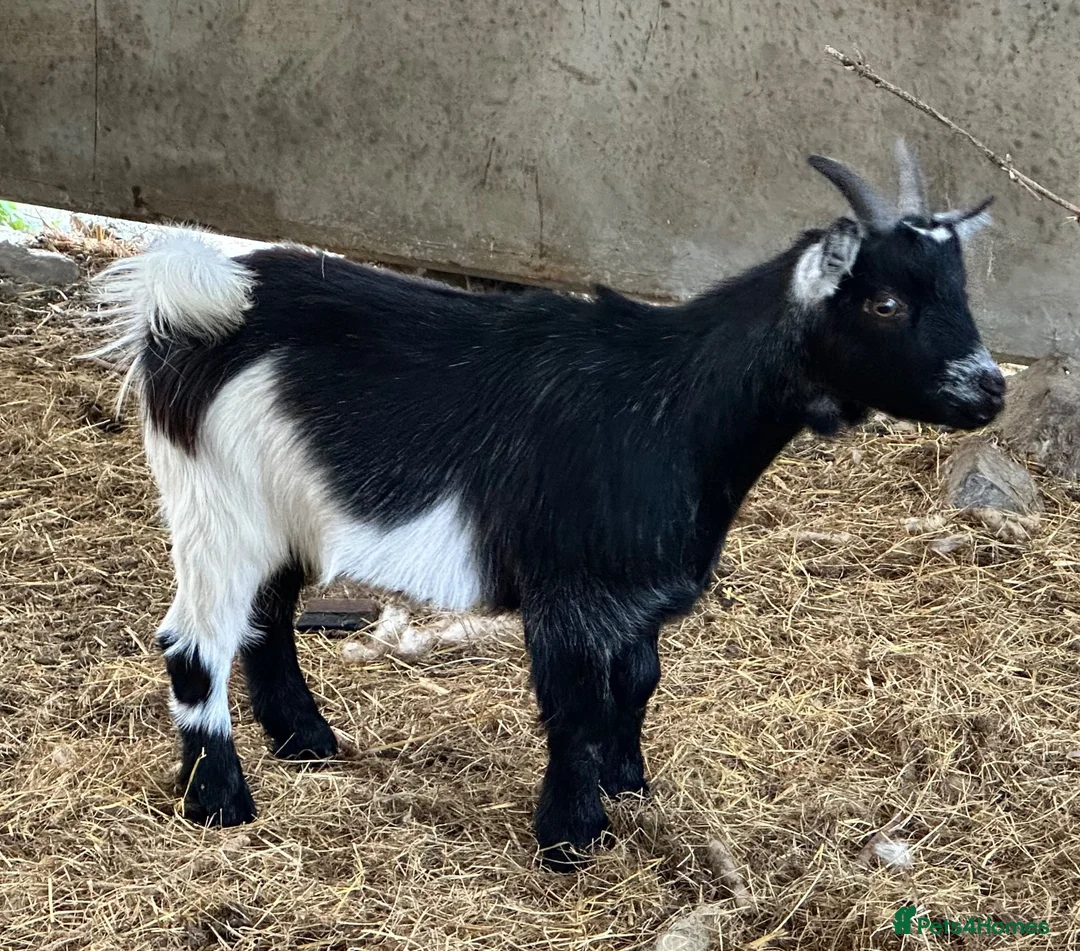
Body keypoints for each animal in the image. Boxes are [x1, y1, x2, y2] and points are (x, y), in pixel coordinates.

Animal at [92, 142, 1004, 870]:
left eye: (960, 289)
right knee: (193, 640)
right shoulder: (568, 587)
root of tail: (195, 301)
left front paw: (628, 785)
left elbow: (637, 680)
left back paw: (307, 743)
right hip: (217, 505)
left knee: (266, 618)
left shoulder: (633, 596)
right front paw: (571, 836)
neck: (670, 402)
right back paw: (219, 800)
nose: (990, 390)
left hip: (288, 512)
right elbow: (574, 702)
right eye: (885, 302)